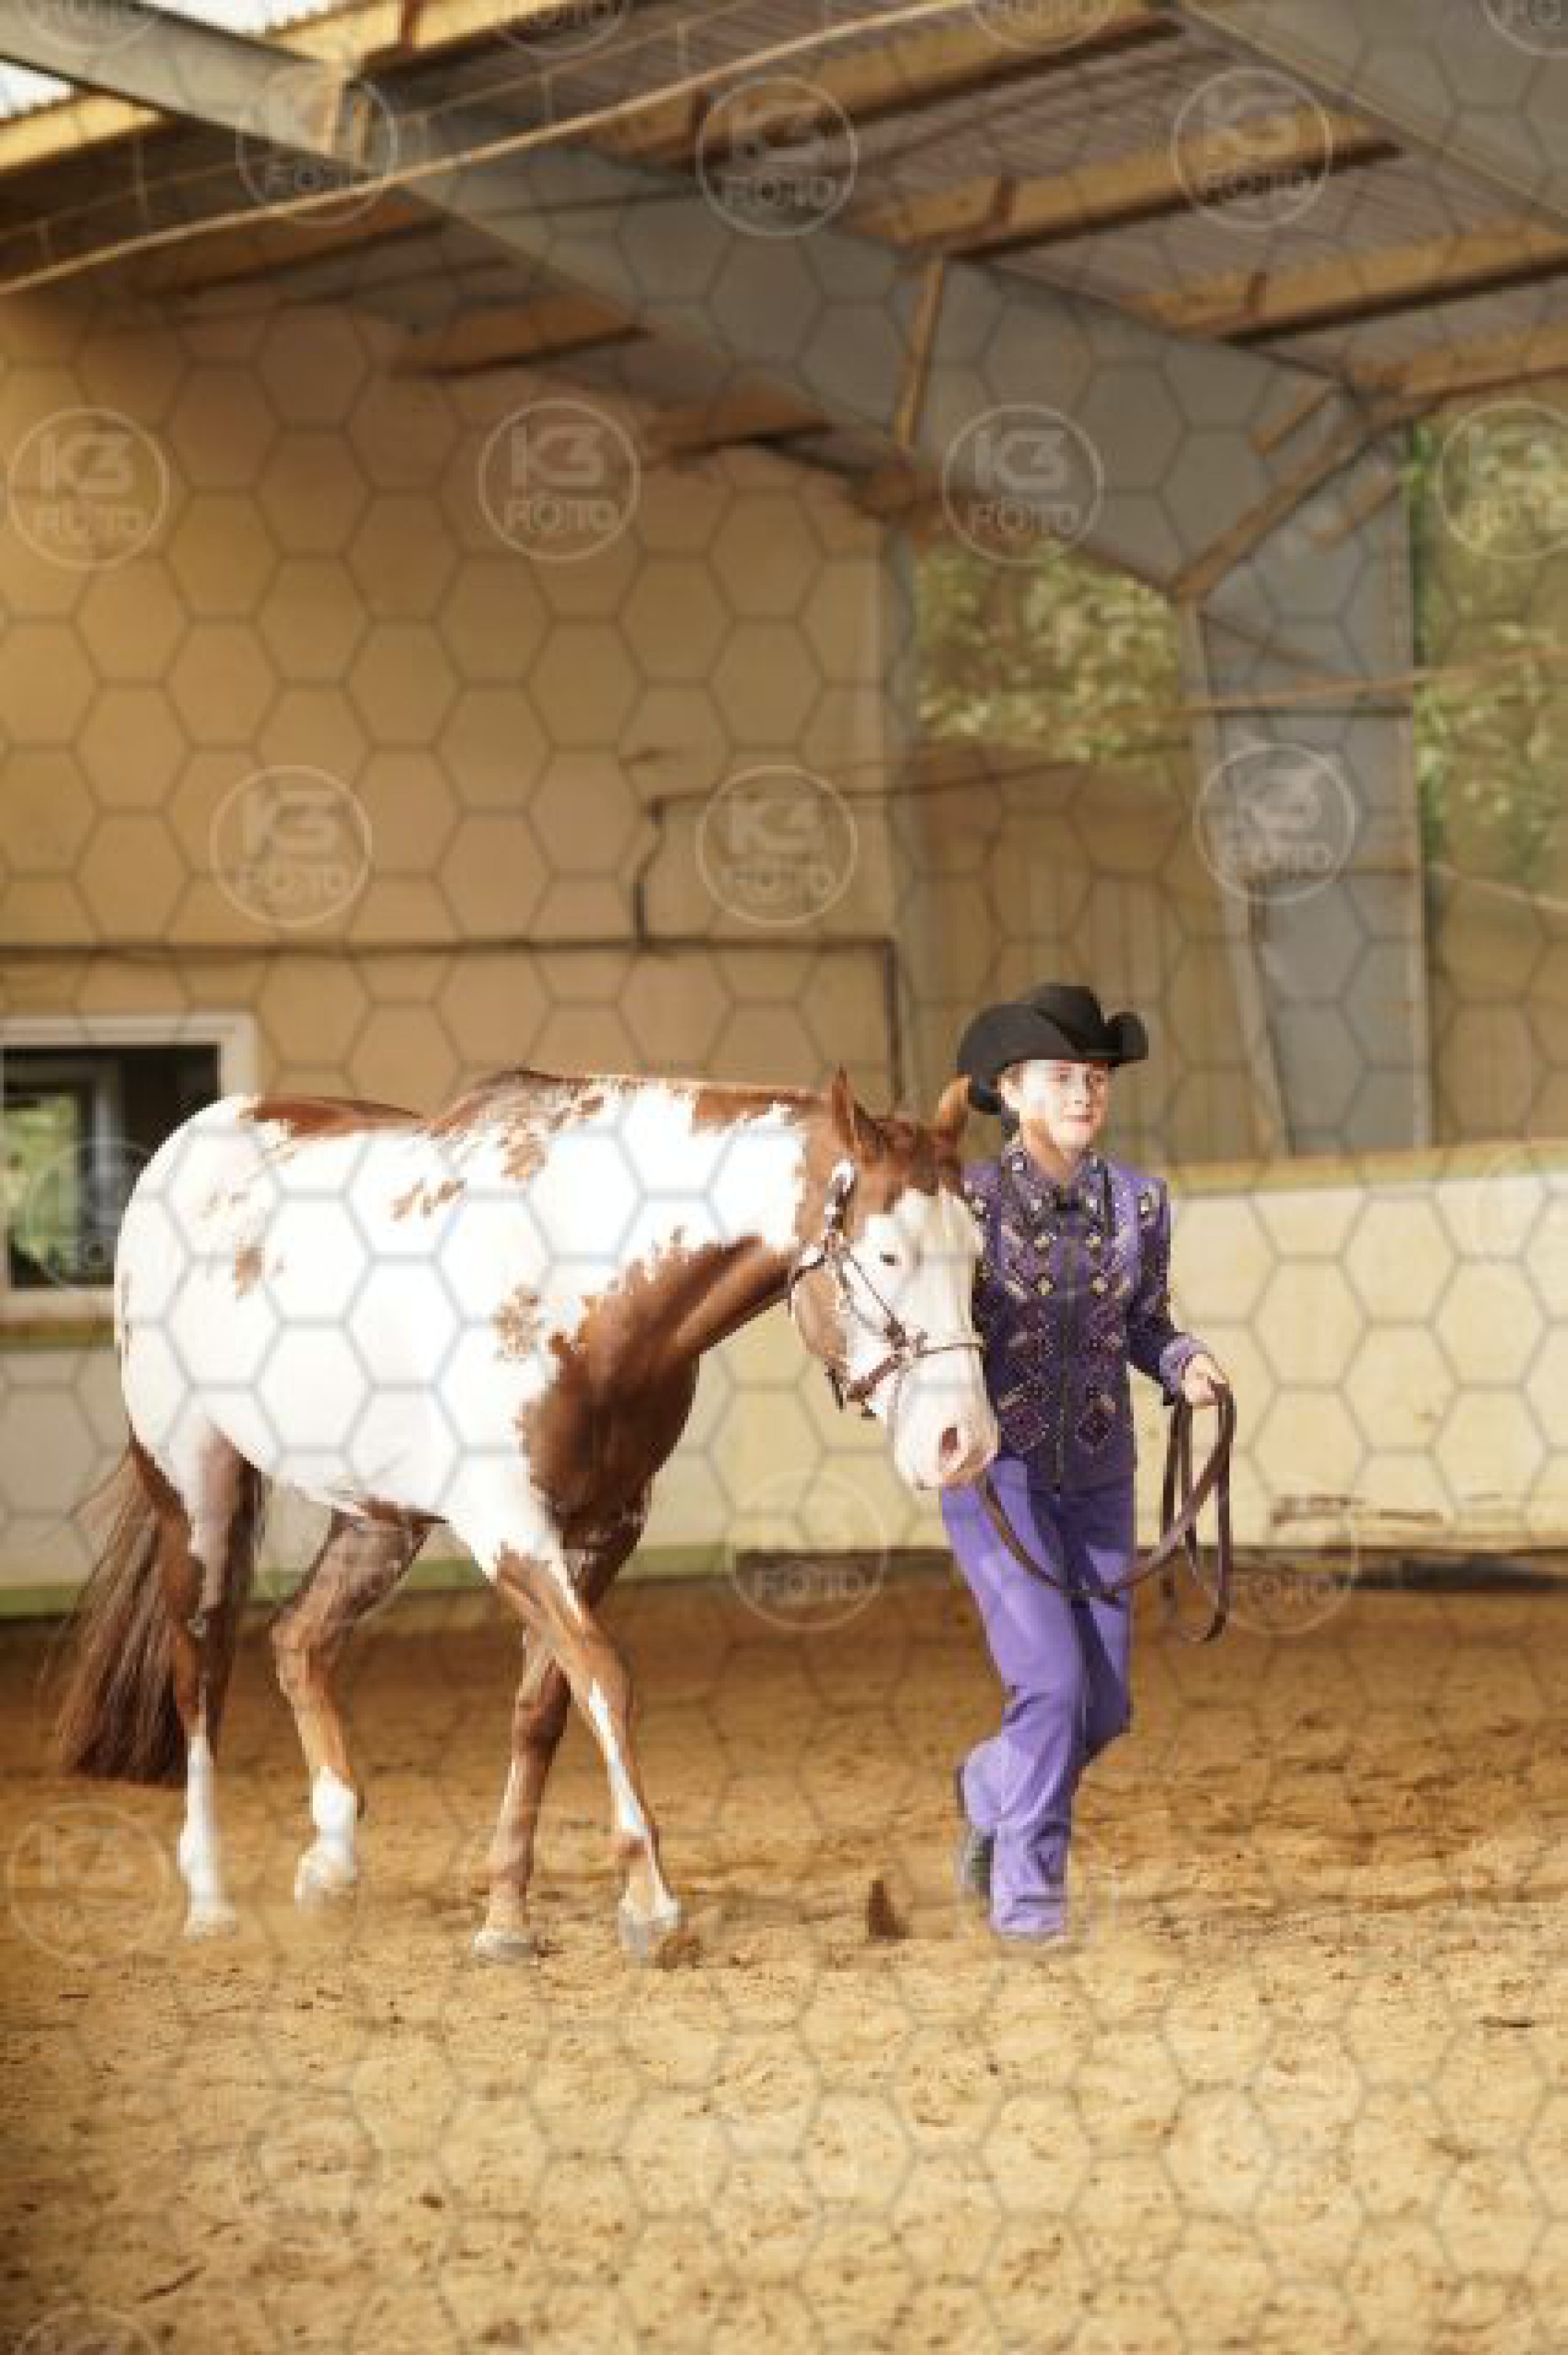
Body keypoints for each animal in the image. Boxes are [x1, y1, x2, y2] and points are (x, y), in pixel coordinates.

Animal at [51, 1064, 998, 1964]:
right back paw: (209, 1899)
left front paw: (505, 1914)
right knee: (200, 1673)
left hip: (379, 1517)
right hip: (194, 1494)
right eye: (886, 1255)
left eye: (977, 1252)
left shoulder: (605, 1530)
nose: (963, 1441)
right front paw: (650, 1904)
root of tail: (185, 1149)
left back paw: (332, 1862)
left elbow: (544, 1704)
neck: (575, 1279)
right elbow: (604, 1677)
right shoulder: (506, 1527)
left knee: (297, 1640)